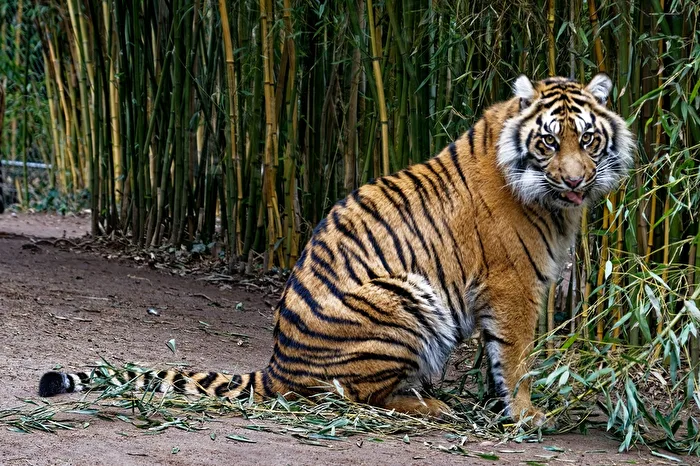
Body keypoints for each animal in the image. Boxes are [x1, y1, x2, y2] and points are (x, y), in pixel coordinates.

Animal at [39, 74, 634, 426]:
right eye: (549, 141)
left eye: (588, 138)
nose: (576, 180)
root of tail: (275, 367)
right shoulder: (516, 286)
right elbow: (517, 358)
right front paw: (528, 416)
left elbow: (496, 360)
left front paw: (500, 408)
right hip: (407, 298)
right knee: (357, 396)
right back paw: (432, 403)